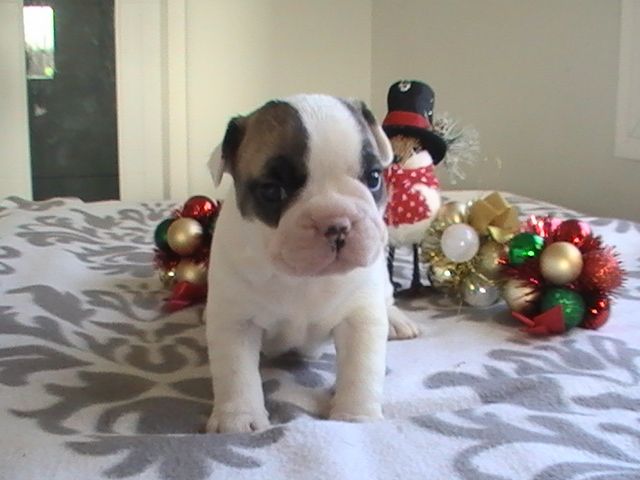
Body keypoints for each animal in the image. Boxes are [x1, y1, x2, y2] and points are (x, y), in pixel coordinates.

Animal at [205, 94, 418, 434]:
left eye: (373, 177)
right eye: (272, 190)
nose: (337, 223)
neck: (302, 278)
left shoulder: (360, 318)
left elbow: (361, 368)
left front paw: (356, 416)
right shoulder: (235, 321)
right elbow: (236, 372)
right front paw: (237, 419)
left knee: (387, 298)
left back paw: (397, 320)